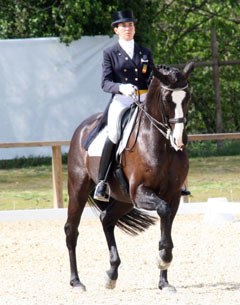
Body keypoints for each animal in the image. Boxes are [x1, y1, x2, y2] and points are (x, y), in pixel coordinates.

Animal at [64, 61, 195, 292]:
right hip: (78, 190)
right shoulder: (141, 192)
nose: (180, 140)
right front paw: (163, 259)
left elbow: (166, 226)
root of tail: (82, 128)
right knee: (72, 231)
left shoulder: (172, 196)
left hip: (124, 199)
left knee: (106, 219)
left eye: (187, 97)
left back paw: (112, 273)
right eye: (167, 99)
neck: (160, 142)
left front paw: (164, 281)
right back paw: (76, 281)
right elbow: (163, 211)